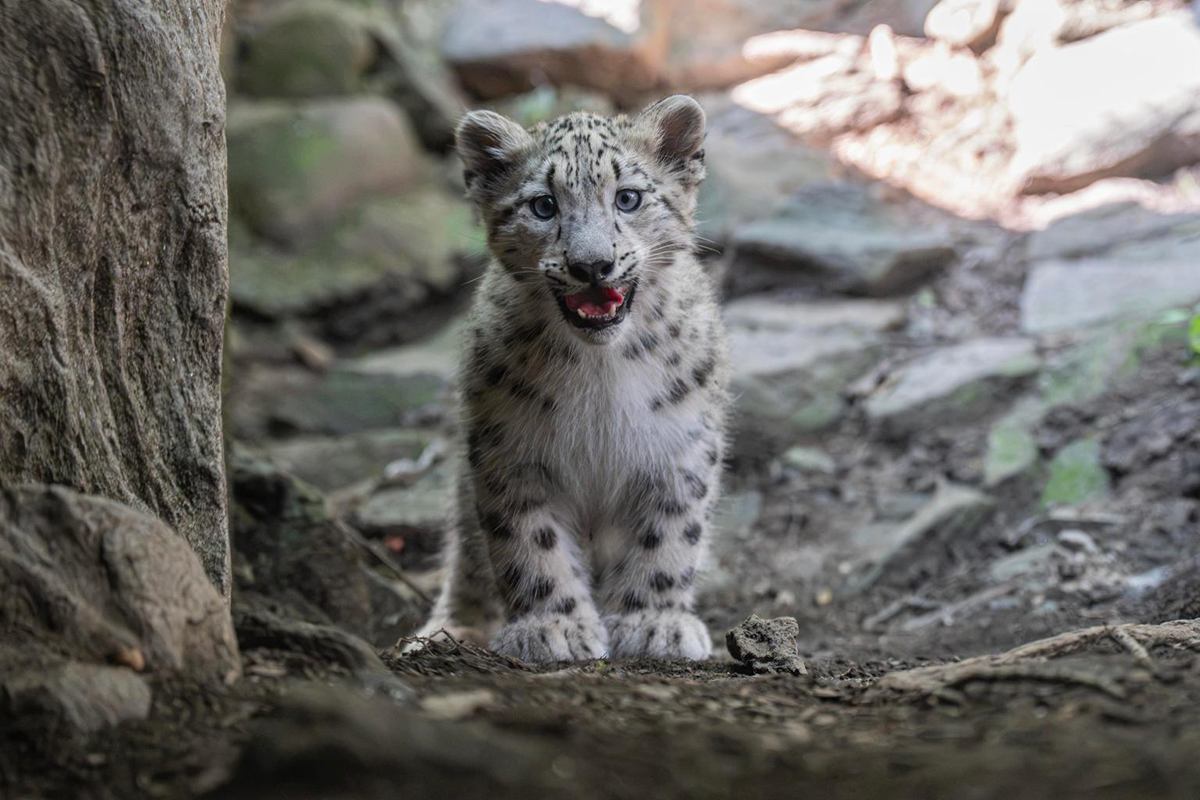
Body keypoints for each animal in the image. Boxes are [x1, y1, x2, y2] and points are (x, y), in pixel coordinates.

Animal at [417, 95, 730, 663]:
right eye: (544, 205)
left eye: (628, 197)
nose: (593, 265)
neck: (601, 373)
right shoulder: (511, 450)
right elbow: (528, 542)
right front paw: (554, 628)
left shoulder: (680, 445)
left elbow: (671, 534)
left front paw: (654, 622)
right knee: (466, 555)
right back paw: (450, 630)